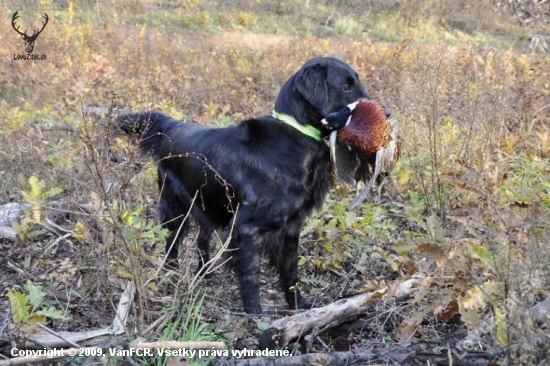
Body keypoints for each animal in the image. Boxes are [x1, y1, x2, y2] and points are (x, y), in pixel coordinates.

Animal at [119, 58, 370, 314]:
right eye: (346, 87)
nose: (381, 110)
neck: (295, 137)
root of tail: (172, 126)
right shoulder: (247, 229)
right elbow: (251, 275)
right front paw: (254, 314)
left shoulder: (291, 228)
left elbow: (291, 273)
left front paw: (298, 305)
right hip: (176, 208)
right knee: (172, 243)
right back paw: (170, 274)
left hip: (208, 205)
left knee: (201, 240)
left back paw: (205, 274)